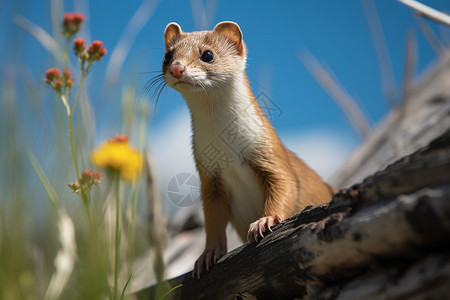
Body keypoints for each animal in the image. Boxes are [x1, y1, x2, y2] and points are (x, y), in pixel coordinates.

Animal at [161, 21, 334, 278]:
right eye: (168, 55)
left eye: (207, 54)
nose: (176, 68)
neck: (226, 146)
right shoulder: (209, 175)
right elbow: (212, 220)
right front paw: (207, 256)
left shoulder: (269, 150)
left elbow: (285, 183)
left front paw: (264, 221)